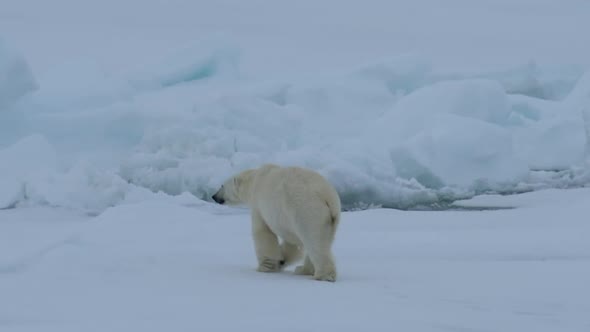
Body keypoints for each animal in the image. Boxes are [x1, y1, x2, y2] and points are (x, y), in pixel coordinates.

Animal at [213, 163, 342, 280]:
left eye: (222, 185)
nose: (214, 196)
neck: (254, 180)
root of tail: (328, 197)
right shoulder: (287, 218)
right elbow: (292, 243)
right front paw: (281, 260)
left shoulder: (259, 204)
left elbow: (262, 232)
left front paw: (265, 267)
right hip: (330, 220)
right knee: (323, 240)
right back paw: (303, 269)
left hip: (307, 210)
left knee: (314, 241)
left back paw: (322, 276)